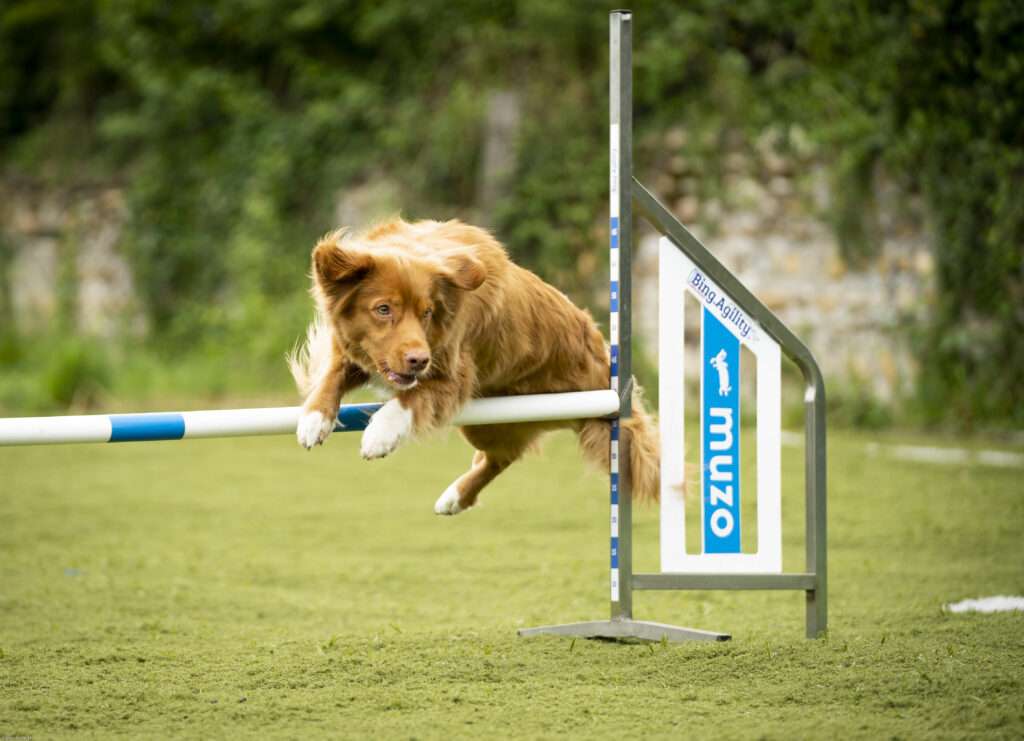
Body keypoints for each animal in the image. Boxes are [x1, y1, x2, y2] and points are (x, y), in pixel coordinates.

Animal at [288, 216, 659, 511]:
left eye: (426, 312)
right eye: (383, 309)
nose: (419, 360)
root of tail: (607, 371)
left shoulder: (453, 376)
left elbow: (409, 398)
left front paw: (380, 433)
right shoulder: (355, 351)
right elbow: (332, 374)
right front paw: (314, 419)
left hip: (492, 419)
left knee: (500, 456)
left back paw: (454, 497)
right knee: (501, 456)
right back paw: (455, 496)